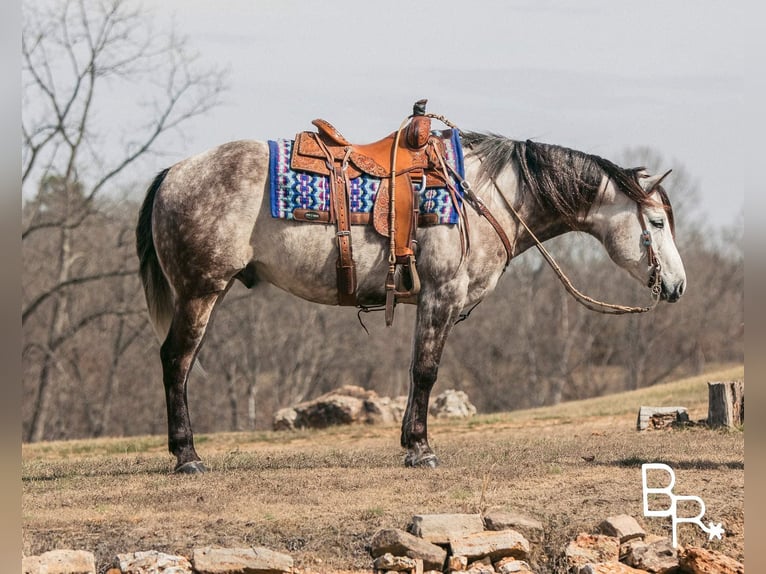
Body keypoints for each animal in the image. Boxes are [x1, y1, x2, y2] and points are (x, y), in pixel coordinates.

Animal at [135, 132, 688, 476]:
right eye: (657, 222)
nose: (678, 286)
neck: (483, 195)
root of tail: (173, 173)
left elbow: (418, 370)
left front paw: (411, 442)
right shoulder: (441, 295)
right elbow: (425, 370)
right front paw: (420, 448)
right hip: (201, 291)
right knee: (176, 362)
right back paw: (187, 456)